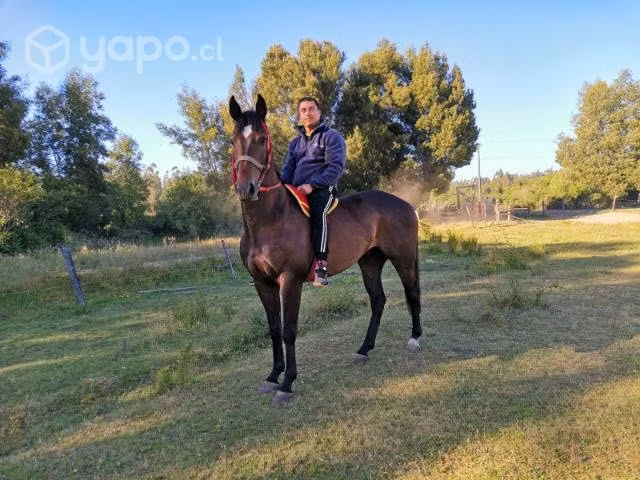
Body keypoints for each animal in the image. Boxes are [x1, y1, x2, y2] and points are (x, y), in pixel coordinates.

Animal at [229, 94, 422, 405]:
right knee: (378, 300)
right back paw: (363, 349)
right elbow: (273, 329)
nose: (246, 189)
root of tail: (405, 204)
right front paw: (273, 376)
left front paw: (287, 384)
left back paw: (415, 338)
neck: (270, 220)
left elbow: (289, 330)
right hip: (370, 262)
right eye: (234, 139)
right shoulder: (262, 282)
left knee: (412, 293)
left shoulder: (290, 280)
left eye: (261, 139)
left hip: (403, 259)